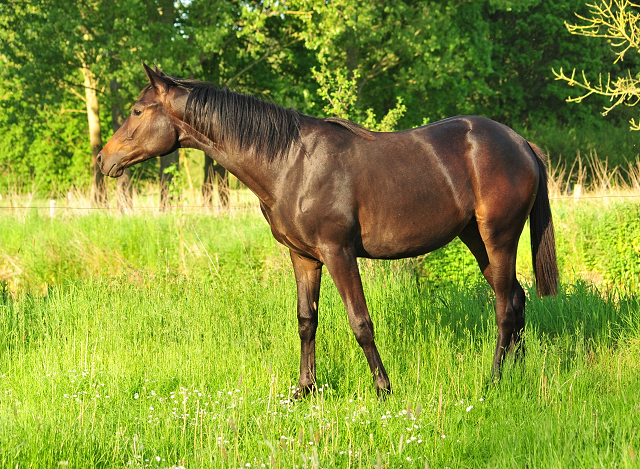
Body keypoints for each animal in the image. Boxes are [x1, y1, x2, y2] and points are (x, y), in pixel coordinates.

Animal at [96, 64, 556, 396]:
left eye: (137, 111)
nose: (103, 160)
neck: (289, 163)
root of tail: (521, 143)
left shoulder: (338, 253)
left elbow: (360, 322)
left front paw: (383, 389)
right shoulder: (303, 256)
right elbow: (306, 320)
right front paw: (305, 389)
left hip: (499, 237)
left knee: (504, 307)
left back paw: (494, 380)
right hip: (476, 238)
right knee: (516, 299)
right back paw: (517, 372)